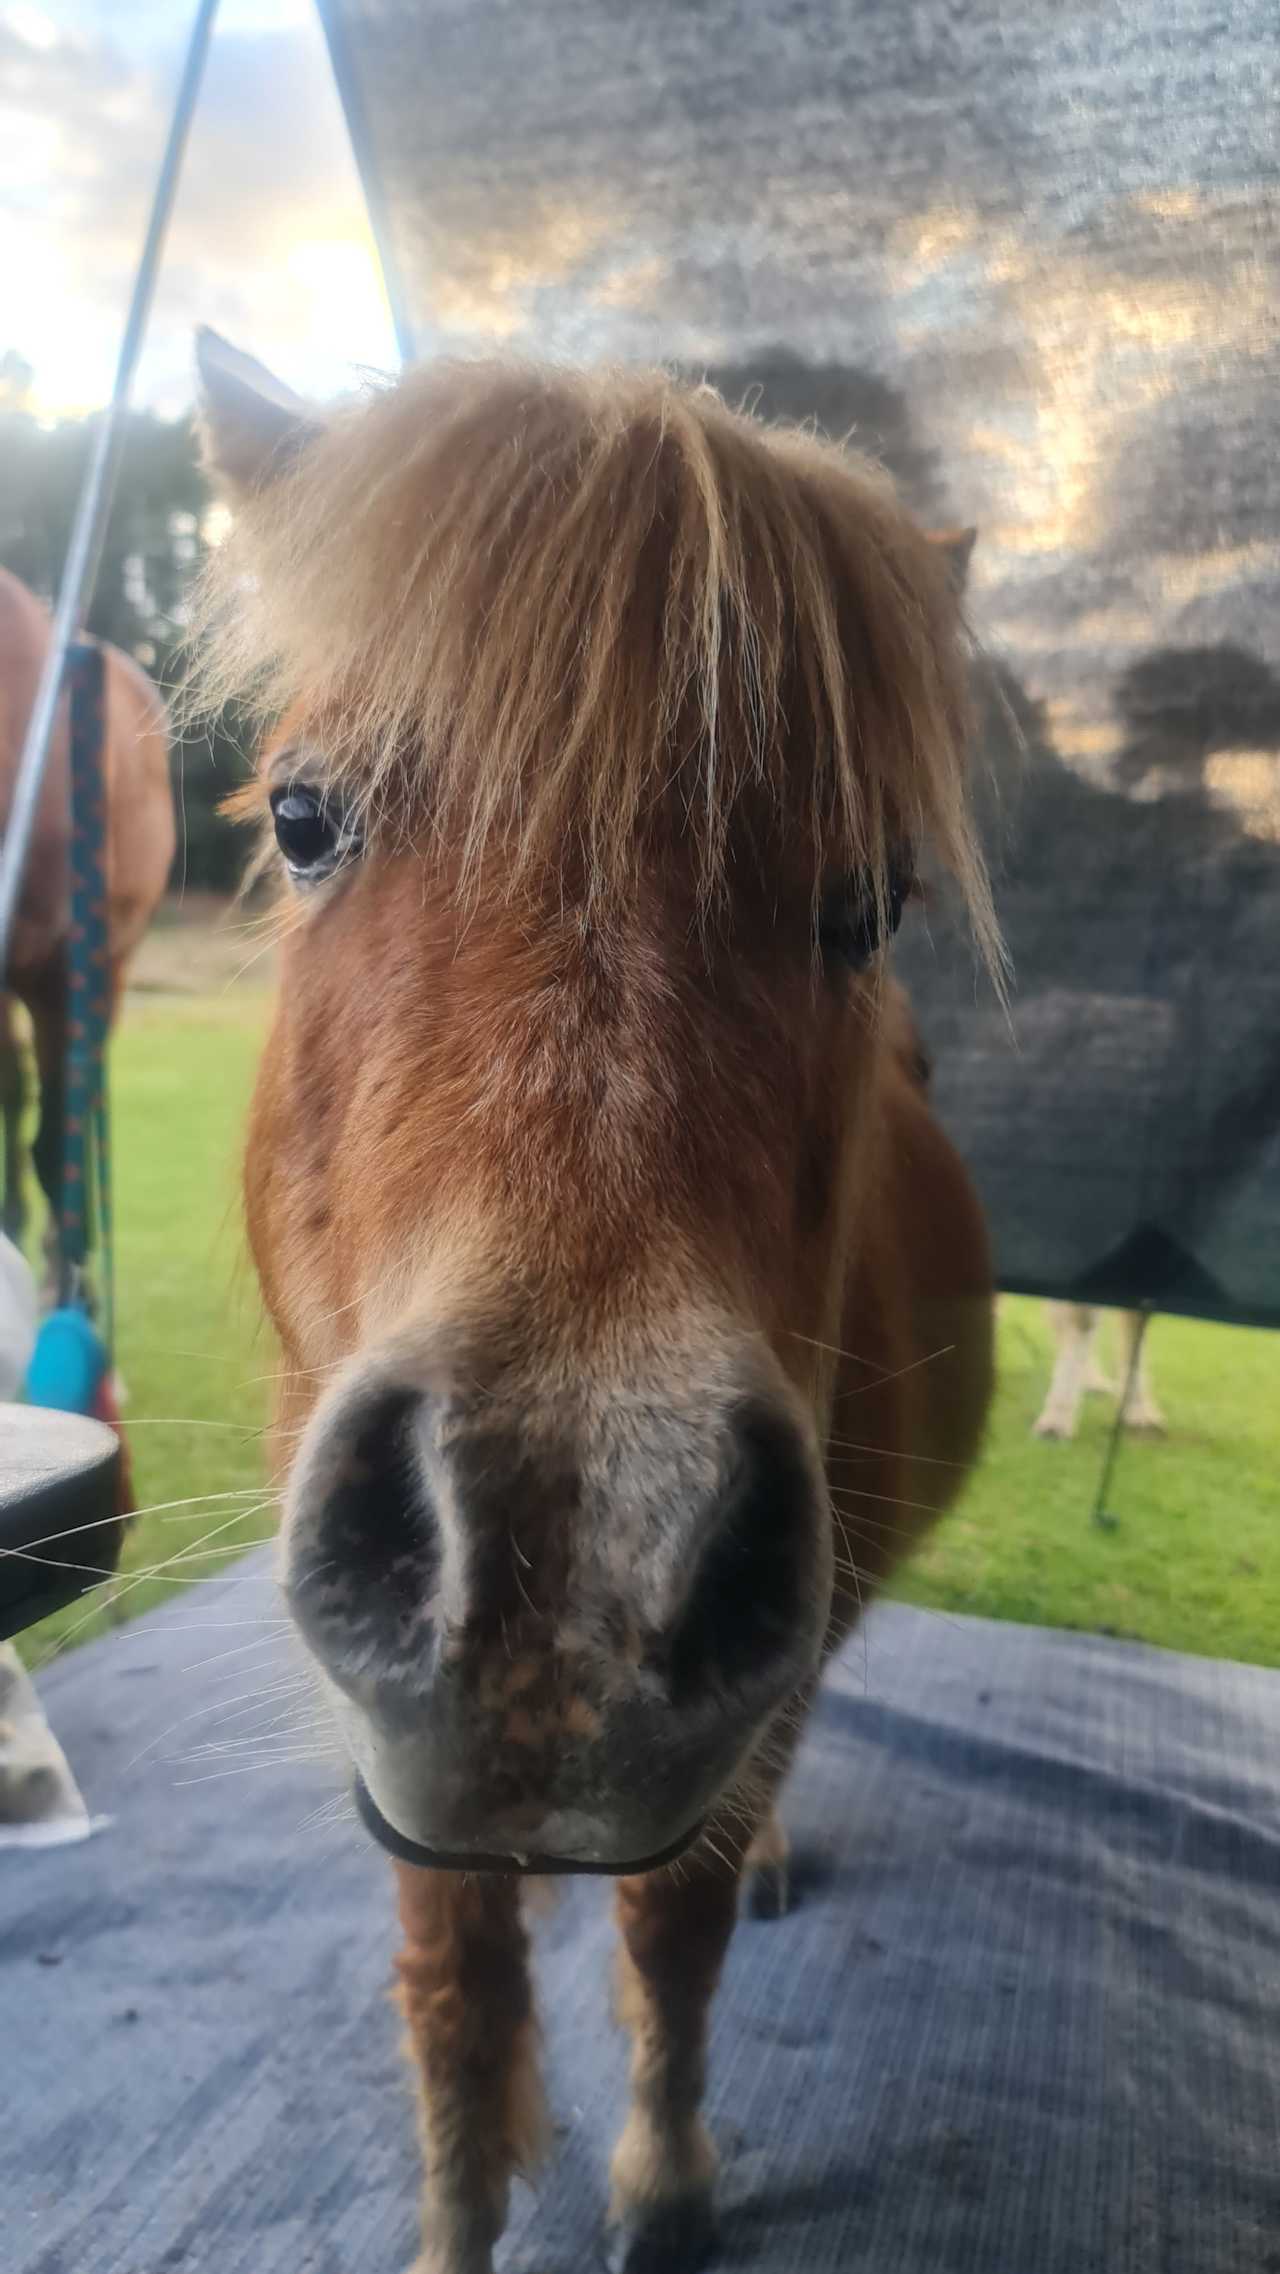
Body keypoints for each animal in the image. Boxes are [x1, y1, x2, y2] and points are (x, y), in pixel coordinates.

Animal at [197, 332, 1000, 2274]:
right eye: (302, 815)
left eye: (869, 903)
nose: (565, 1559)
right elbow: (452, 2001)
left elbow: (670, 1942)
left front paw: (665, 2179)